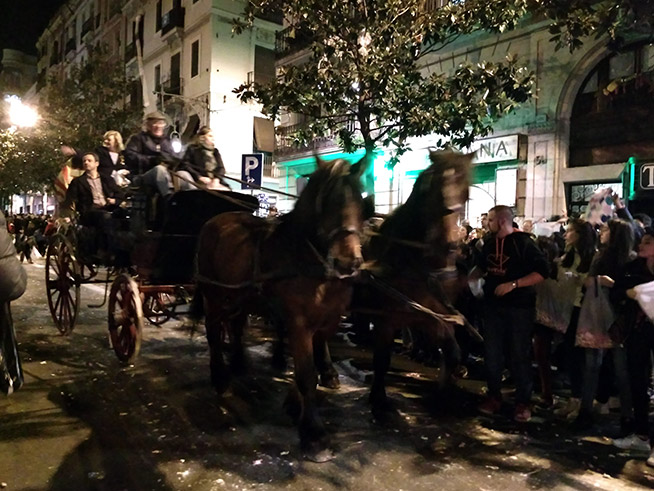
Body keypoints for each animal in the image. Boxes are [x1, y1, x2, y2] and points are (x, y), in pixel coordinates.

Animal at [195, 158, 368, 462]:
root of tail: (215, 220)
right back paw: (220, 377)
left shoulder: (327, 321)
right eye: (326, 203)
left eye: (359, 202)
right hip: (213, 294)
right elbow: (306, 374)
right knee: (213, 331)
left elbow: (311, 364)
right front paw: (315, 435)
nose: (348, 263)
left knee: (235, 326)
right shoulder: (299, 323)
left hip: (240, 297)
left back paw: (238, 362)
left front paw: (295, 403)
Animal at [356, 149, 474, 416]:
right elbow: (382, 358)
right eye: (436, 190)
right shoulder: (387, 318)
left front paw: (443, 394)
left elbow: (452, 352)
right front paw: (378, 398)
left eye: (466, 192)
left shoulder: (431, 315)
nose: (451, 245)